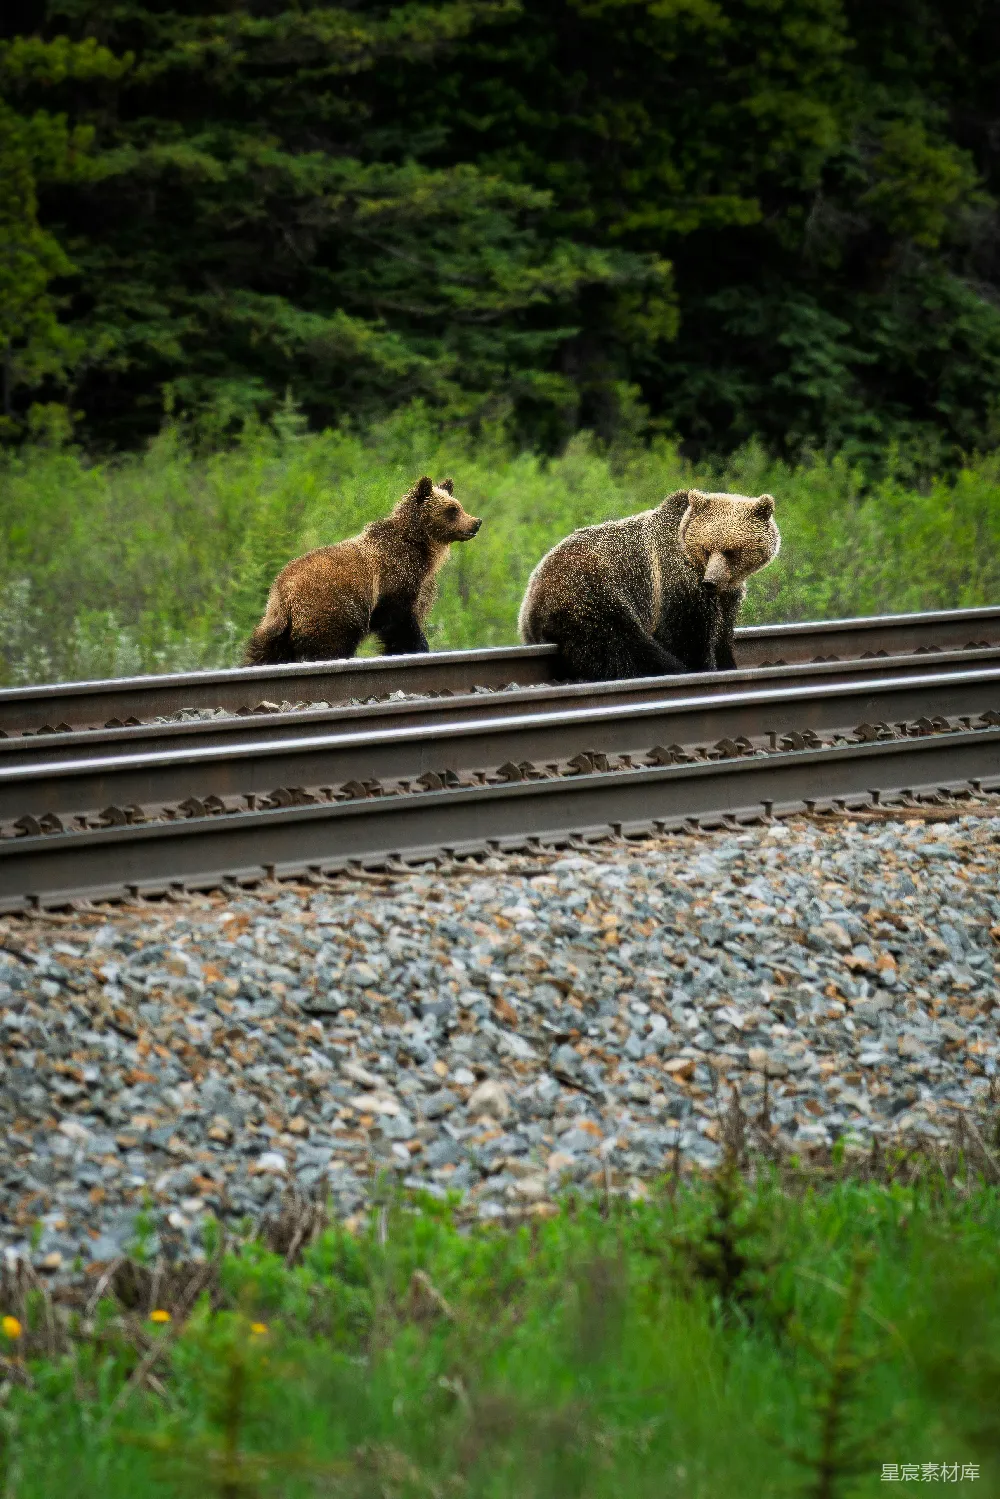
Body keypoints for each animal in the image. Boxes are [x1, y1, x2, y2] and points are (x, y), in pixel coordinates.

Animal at [243, 476, 482, 665]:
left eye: (459, 505)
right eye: (452, 510)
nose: (476, 522)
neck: (419, 547)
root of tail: (283, 588)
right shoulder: (394, 579)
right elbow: (400, 622)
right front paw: (417, 647)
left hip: (276, 622)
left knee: (265, 649)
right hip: (331, 608)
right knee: (330, 645)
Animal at [517, 488, 779, 681]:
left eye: (731, 551)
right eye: (706, 548)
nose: (710, 582)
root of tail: (532, 597)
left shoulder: (728, 596)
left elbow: (722, 633)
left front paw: (728, 663)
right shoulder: (674, 582)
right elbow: (688, 635)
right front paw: (701, 666)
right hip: (592, 592)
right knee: (620, 644)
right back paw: (669, 667)